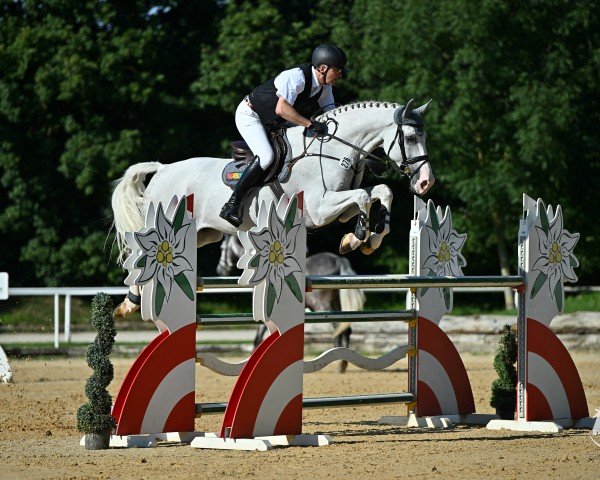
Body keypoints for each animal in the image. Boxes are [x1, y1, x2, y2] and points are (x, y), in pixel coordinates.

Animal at [111, 98, 432, 316]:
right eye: (410, 137)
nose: (425, 183)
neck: (333, 149)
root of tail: (162, 169)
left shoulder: (339, 207)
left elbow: (380, 192)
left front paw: (368, 237)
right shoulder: (320, 209)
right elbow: (365, 198)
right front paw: (359, 236)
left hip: (202, 234)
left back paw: (131, 302)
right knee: (140, 254)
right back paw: (130, 302)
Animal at [216, 234, 366, 374]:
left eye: (223, 248)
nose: (220, 270)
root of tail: (338, 260)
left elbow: (259, 336)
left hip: (322, 305)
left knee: (337, 328)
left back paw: (339, 362)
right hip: (336, 304)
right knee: (345, 329)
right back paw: (343, 361)